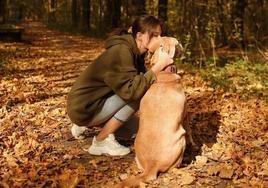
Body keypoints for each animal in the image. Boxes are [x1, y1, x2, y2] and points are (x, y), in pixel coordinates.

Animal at [118, 37, 189, 187]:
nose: (182, 44)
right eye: (178, 42)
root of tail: (151, 165)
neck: (163, 72)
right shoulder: (185, 113)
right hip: (181, 140)